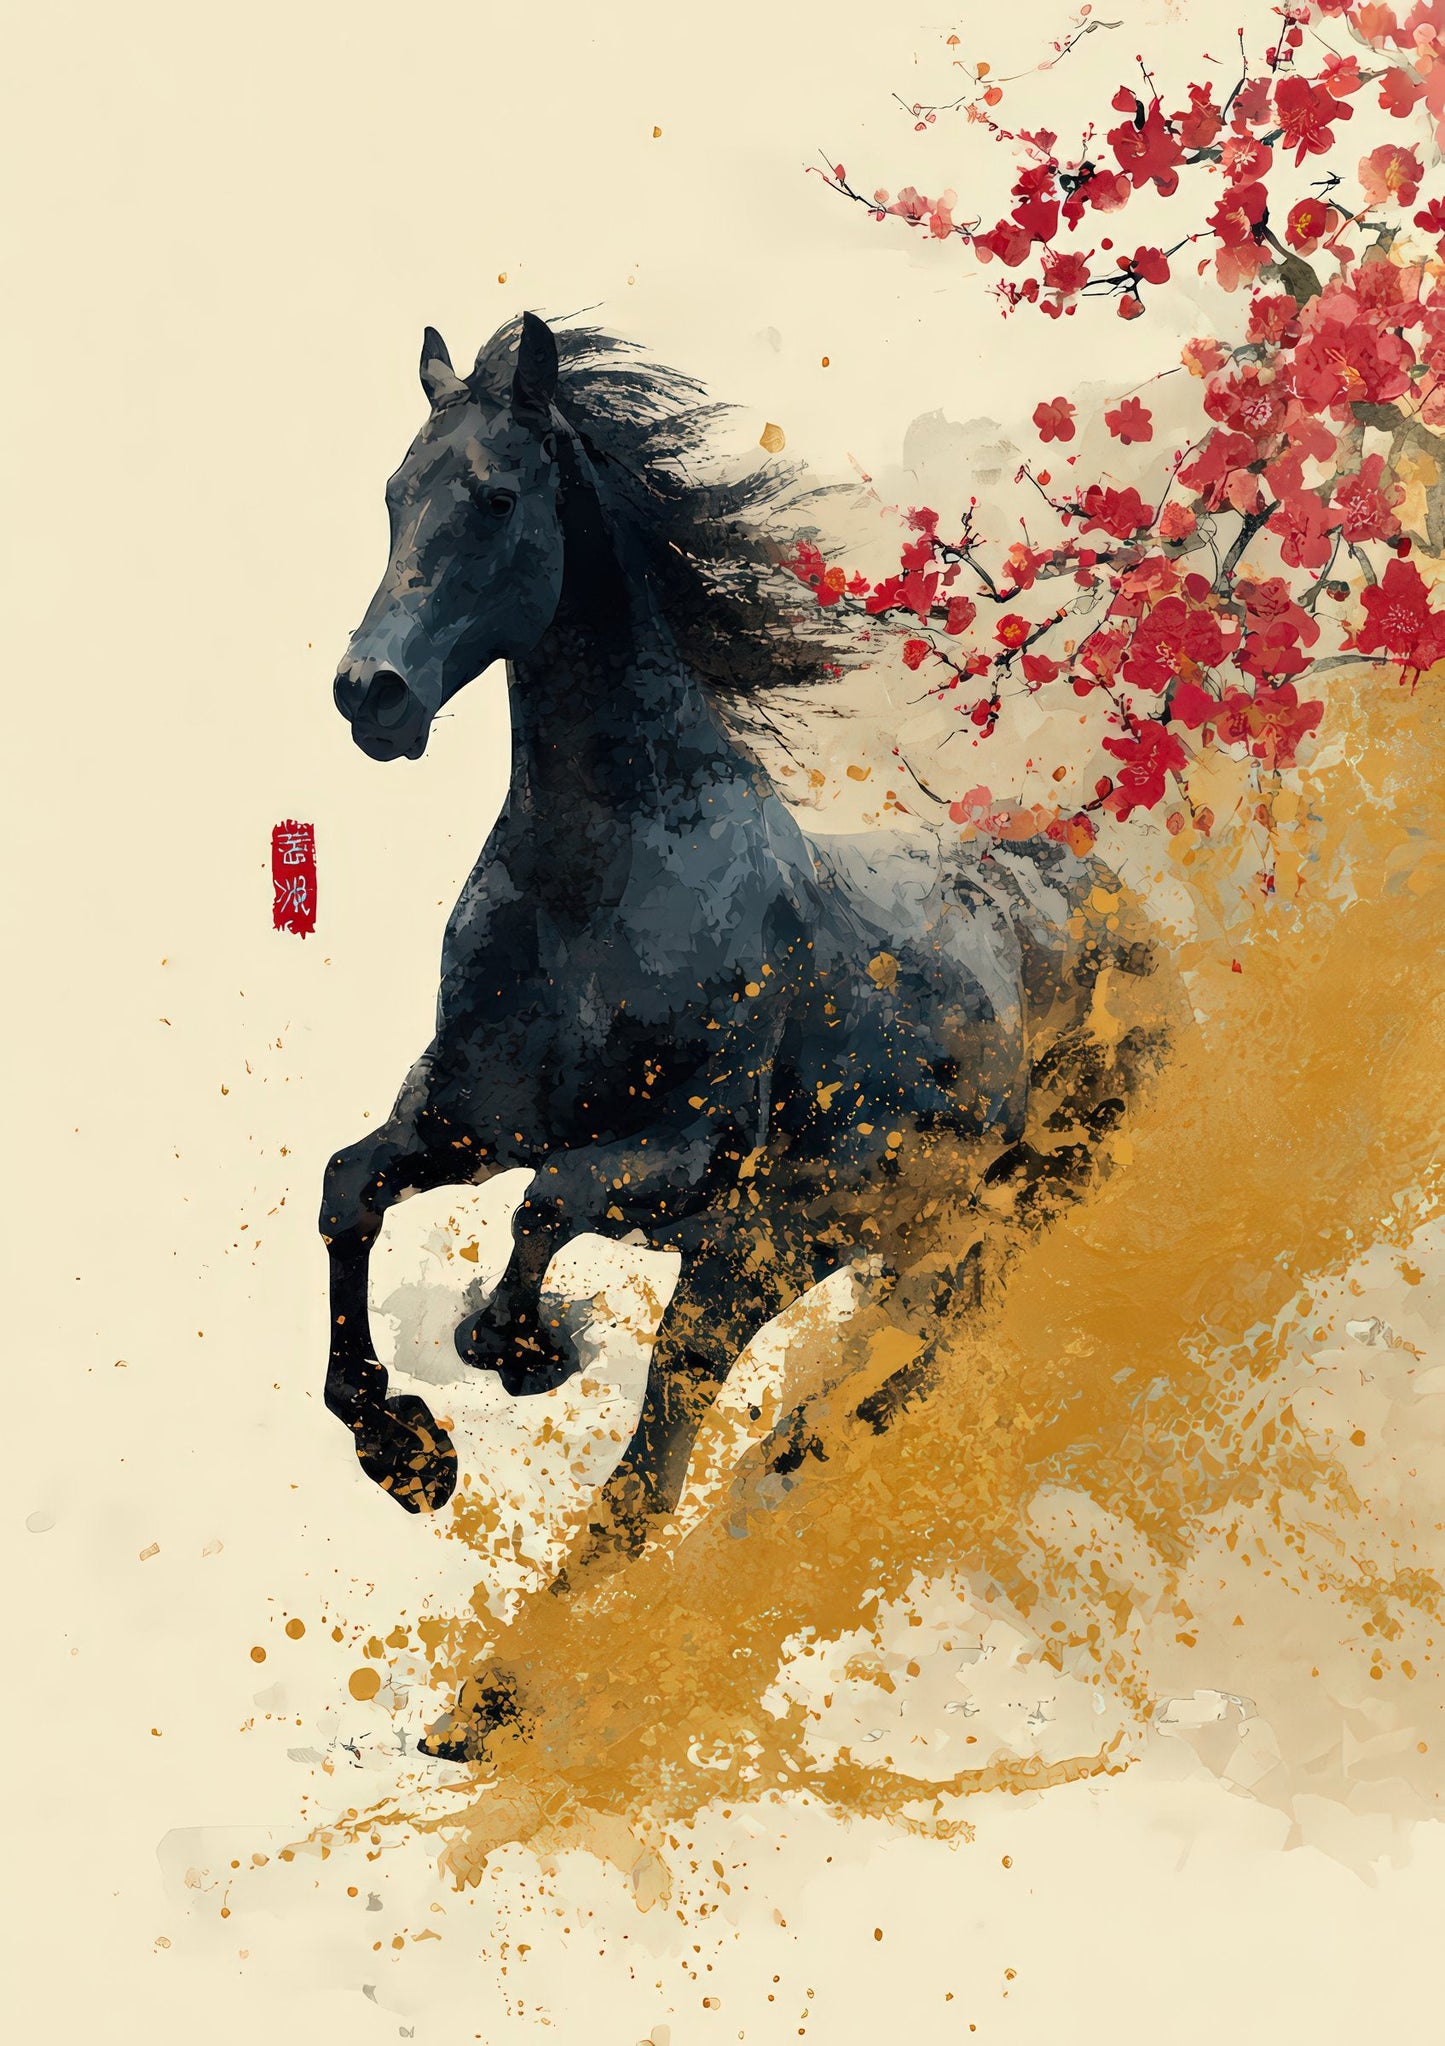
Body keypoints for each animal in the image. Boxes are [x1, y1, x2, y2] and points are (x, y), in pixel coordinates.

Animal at [321, 313, 1155, 1752]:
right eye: (389, 494)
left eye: (495, 497)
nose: (370, 693)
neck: (598, 885)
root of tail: (1130, 917)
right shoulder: (462, 1115)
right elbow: (348, 1188)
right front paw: (404, 1450)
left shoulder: (684, 1161)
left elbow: (544, 1208)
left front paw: (517, 1349)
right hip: (833, 1258)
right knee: (708, 1467)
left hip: (868, 1259)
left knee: (698, 1468)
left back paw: (505, 1696)